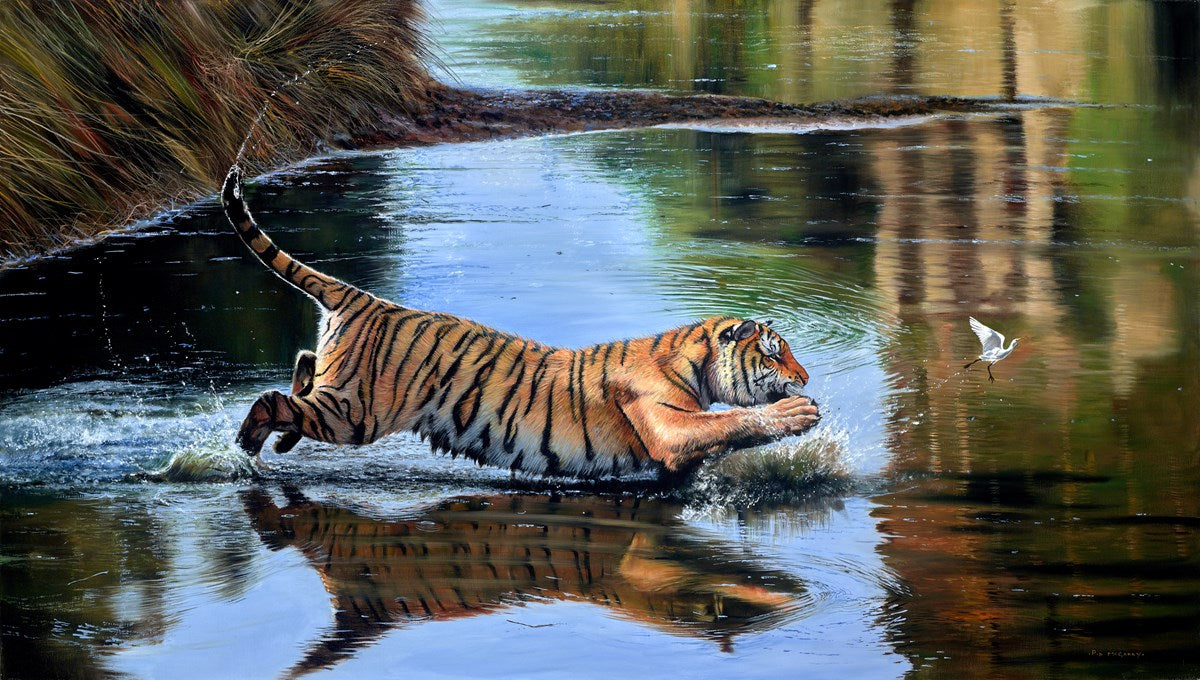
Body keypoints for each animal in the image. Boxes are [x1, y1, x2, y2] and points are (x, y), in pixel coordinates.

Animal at [220, 165, 819, 479]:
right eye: (775, 351)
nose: (807, 378)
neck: (695, 361)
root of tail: (367, 299)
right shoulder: (667, 424)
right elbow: (731, 421)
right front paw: (797, 413)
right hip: (358, 411)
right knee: (273, 399)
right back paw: (250, 443)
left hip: (341, 393)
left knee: (302, 368)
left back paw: (281, 441)